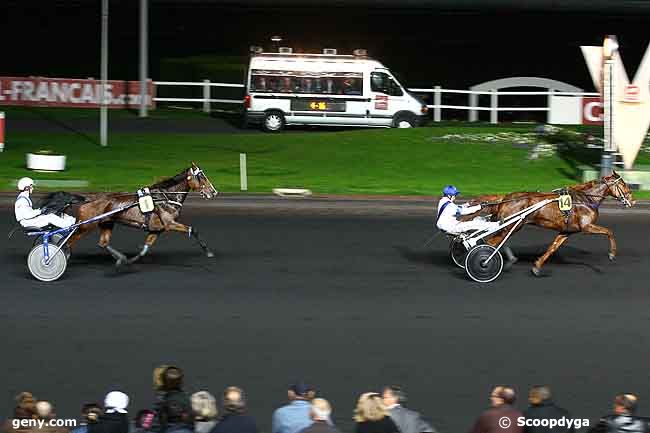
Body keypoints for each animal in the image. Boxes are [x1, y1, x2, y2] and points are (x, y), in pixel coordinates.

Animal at [67, 162, 218, 264]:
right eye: (202, 177)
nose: (214, 192)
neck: (166, 197)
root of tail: (88, 198)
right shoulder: (170, 224)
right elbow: (193, 230)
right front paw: (209, 252)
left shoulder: (156, 229)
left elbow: (145, 248)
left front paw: (131, 259)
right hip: (86, 226)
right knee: (69, 242)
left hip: (106, 223)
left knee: (103, 243)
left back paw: (120, 258)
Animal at [476, 171, 632, 276]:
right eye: (623, 184)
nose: (632, 199)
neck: (586, 199)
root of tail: (505, 198)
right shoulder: (586, 227)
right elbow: (609, 232)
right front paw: (612, 254)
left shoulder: (566, 231)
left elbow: (552, 248)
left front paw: (537, 266)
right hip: (511, 225)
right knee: (491, 242)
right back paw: (485, 261)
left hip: (511, 226)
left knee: (497, 241)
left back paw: (509, 260)